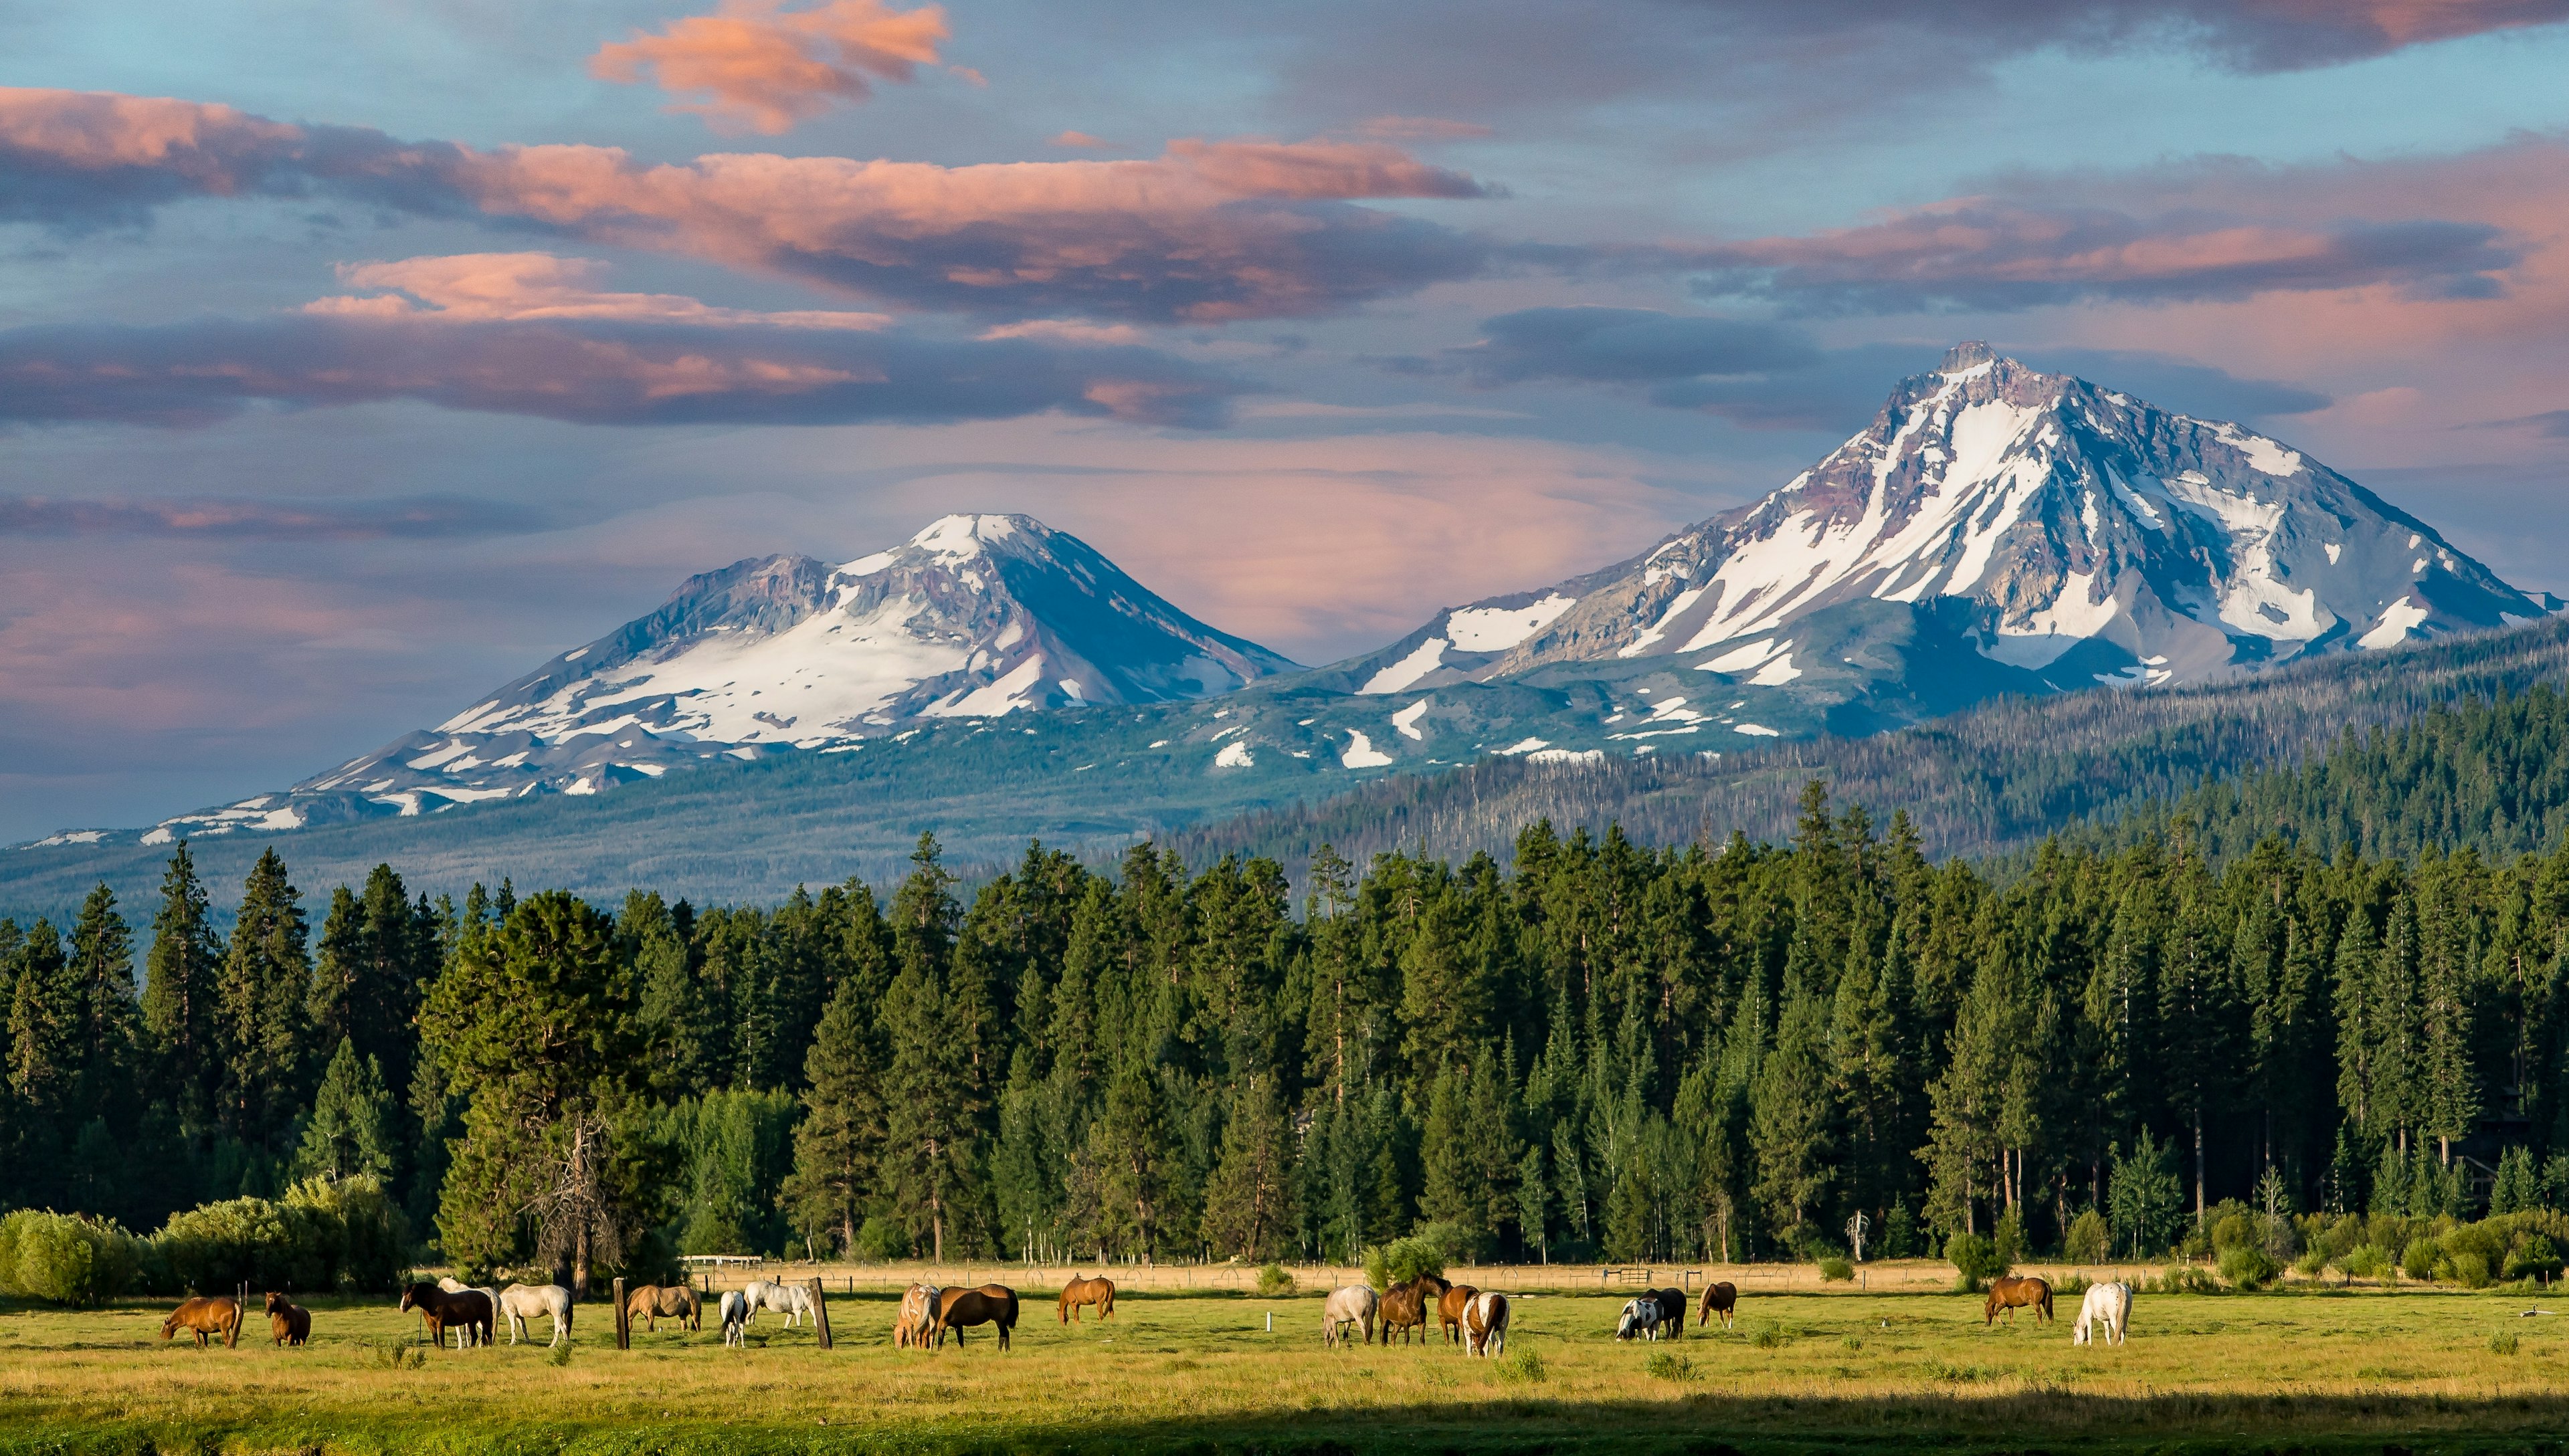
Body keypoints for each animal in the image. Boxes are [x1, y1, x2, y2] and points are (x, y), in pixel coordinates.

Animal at [395, 1283, 490, 1345]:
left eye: (409, 1294)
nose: (402, 1308)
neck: (433, 1302)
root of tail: (486, 1296)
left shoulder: (440, 1323)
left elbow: (441, 1339)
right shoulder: (431, 1326)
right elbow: (436, 1340)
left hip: (484, 1320)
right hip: (472, 1322)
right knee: (476, 1336)